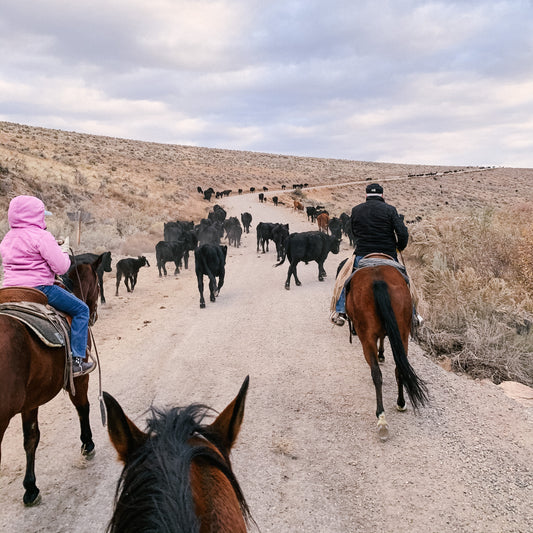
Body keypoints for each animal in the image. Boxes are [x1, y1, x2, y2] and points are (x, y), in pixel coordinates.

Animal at [0, 258, 102, 508]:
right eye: (98, 283)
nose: (94, 315)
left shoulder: (30, 401)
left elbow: (31, 439)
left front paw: (30, 487)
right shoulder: (80, 378)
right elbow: (83, 407)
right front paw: (88, 444)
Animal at [344, 262, 428, 440]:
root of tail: (378, 280)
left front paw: (380, 354)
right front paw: (382, 354)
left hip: (366, 336)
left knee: (376, 373)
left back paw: (381, 418)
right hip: (402, 333)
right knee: (400, 369)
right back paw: (401, 403)